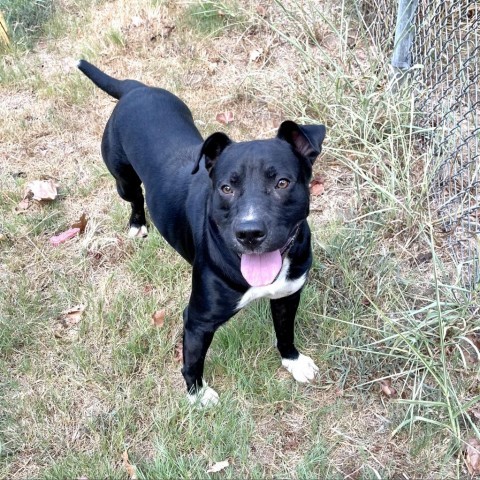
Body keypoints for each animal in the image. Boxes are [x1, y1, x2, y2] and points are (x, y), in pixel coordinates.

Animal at [78, 59, 326, 404]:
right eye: (225, 188)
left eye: (282, 183)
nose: (250, 233)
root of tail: (135, 89)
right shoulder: (197, 321)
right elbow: (192, 361)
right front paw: (197, 395)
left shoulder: (288, 295)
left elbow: (284, 331)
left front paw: (293, 361)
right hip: (123, 178)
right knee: (135, 197)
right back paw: (138, 224)